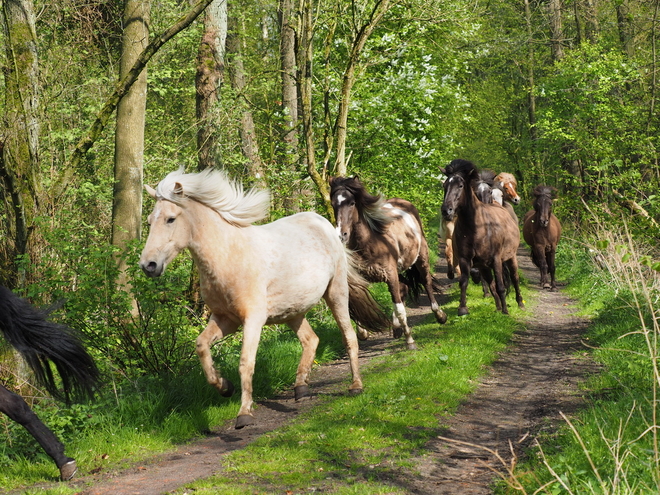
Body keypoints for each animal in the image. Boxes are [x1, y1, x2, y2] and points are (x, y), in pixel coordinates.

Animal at [139, 169, 386, 428]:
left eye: (170, 219)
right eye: (149, 221)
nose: (148, 265)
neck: (227, 257)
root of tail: (326, 225)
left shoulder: (252, 320)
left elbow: (246, 362)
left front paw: (244, 413)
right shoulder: (225, 319)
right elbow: (201, 346)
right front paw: (224, 387)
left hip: (336, 293)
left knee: (349, 337)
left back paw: (355, 386)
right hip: (293, 311)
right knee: (311, 340)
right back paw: (300, 388)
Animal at [330, 176, 448, 350]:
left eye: (352, 203)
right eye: (333, 204)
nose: (341, 235)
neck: (370, 242)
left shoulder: (390, 275)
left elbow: (399, 309)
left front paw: (410, 341)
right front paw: (363, 333)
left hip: (421, 258)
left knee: (425, 282)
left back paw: (439, 315)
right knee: (404, 287)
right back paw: (397, 328)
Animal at [438, 161, 524, 316]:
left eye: (461, 185)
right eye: (445, 185)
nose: (447, 211)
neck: (477, 227)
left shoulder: (496, 259)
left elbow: (501, 285)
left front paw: (506, 311)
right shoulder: (465, 259)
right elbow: (464, 281)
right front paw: (462, 309)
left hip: (510, 257)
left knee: (514, 277)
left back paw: (519, 304)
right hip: (484, 264)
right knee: (490, 281)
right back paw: (497, 305)